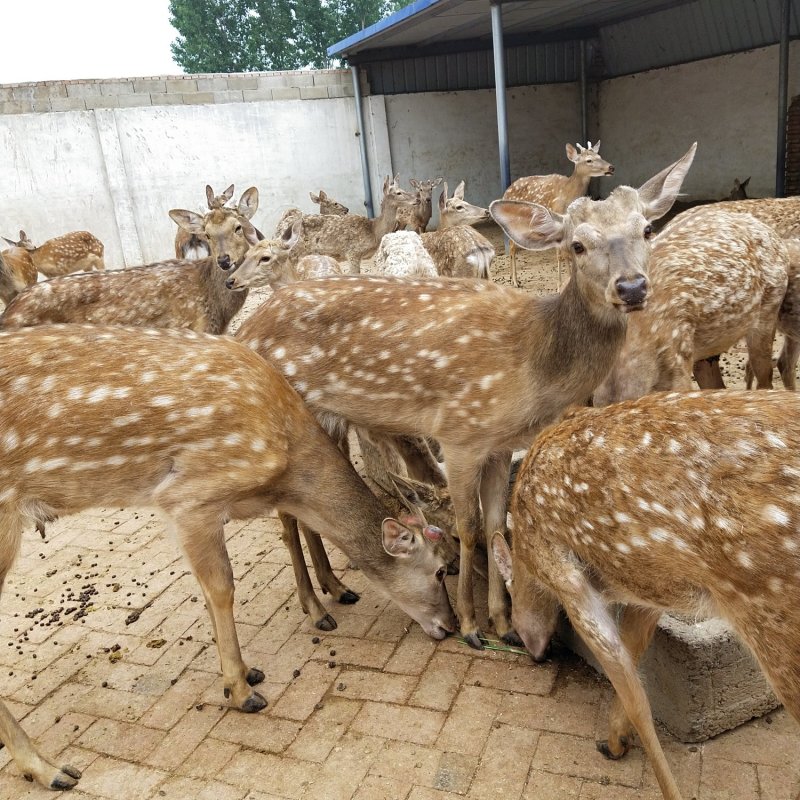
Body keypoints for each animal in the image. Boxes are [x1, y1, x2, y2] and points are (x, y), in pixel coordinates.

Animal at [0, 324, 456, 791]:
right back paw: (49, 768)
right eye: (442, 569)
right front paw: (241, 690)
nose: (452, 626)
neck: (286, 463)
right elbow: (221, 588)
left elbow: (209, 588)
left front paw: (248, 671)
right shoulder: (189, 497)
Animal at [493, 389, 800, 800]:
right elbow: (635, 649)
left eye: (511, 603)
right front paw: (615, 740)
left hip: (770, 609)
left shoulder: (567, 577)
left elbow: (635, 693)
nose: (533, 651)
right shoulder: (650, 592)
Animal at [502, 141, 615, 287]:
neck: (568, 194)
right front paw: (559, 284)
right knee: (512, 246)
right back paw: (515, 281)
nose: (611, 167)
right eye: (589, 160)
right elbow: (560, 255)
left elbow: (568, 252)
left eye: (599, 156)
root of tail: (506, 191)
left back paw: (512, 278)